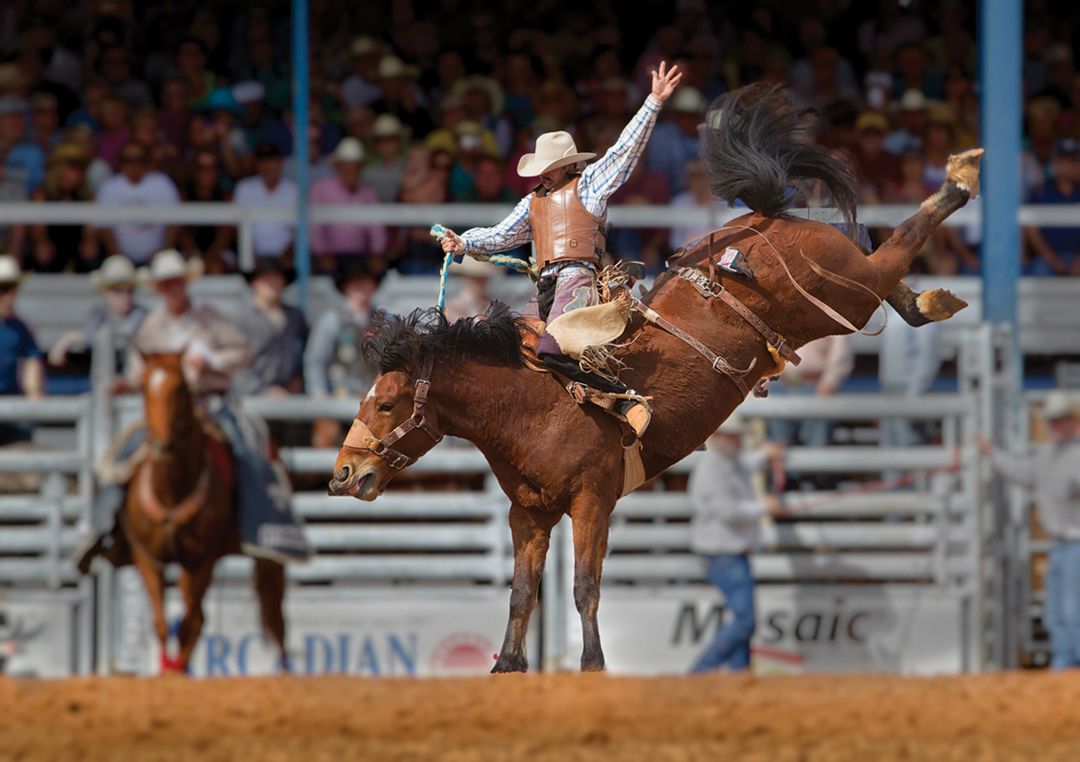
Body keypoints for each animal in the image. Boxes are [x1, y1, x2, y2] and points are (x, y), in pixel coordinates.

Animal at [126, 351, 289, 669]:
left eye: (180, 389)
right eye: (143, 389)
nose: (163, 445)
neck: (172, 491)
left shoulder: (201, 559)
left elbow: (190, 624)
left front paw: (175, 671)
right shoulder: (147, 557)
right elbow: (162, 623)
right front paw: (166, 669)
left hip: (268, 558)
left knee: (275, 620)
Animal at [324, 84, 984, 669]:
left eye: (386, 404)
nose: (343, 474)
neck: (527, 405)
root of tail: (762, 220)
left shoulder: (592, 500)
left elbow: (583, 589)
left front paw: (592, 667)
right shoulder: (528, 514)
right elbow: (521, 596)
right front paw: (507, 668)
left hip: (844, 290)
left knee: (895, 249)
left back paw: (959, 178)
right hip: (843, 297)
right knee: (887, 267)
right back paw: (931, 298)